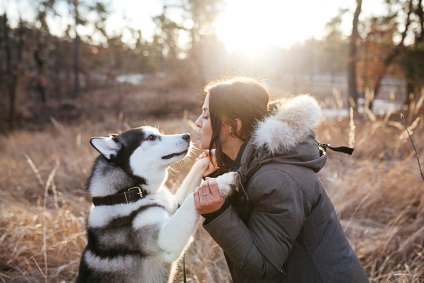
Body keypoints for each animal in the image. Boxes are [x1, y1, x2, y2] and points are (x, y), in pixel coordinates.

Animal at [76, 127, 240, 283]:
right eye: (151, 137)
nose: (187, 136)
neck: (128, 194)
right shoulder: (165, 240)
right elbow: (191, 199)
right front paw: (223, 181)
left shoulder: (174, 206)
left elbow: (193, 178)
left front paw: (211, 155)